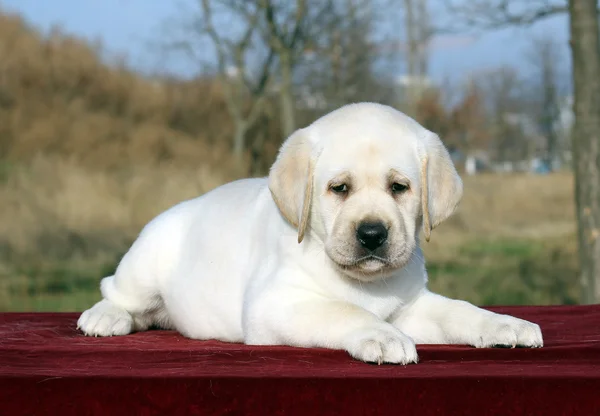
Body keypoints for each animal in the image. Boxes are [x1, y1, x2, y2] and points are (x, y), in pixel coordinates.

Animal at [77, 102, 540, 362]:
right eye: (339, 188)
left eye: (399, 187)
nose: (372, 234)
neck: (365, 283)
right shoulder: (274, 305)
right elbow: (342, 311)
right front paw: (381, 335)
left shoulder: (411, 306)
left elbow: (458, 310)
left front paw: (504, 324)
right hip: (144, 265)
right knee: (115, 291)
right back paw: (104, 317)